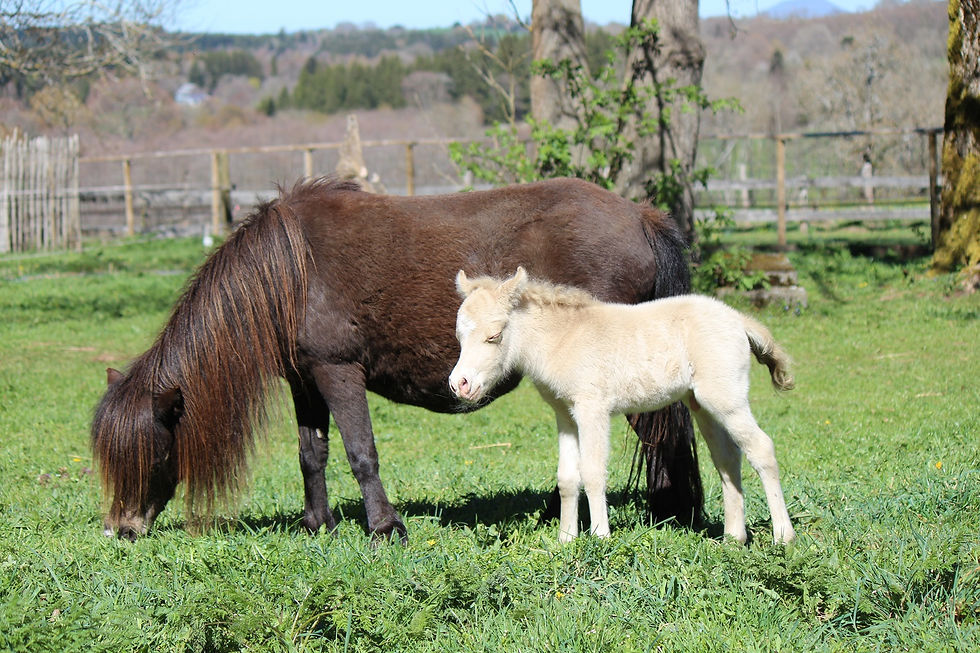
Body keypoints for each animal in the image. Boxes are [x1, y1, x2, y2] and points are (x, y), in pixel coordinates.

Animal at [92, 176, 702, 541]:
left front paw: (385, 529)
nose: (121, 529)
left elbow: (361, 453)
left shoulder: (338, 373)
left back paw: (678, 512)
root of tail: (641, 216)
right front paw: (319, 525)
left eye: (152, 452)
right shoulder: (305, 380)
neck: (291, 271)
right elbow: (311, 455)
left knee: (662, 433)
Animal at [449, 267, 797, 544]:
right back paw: (733, 538)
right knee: (727, 458)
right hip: (701, 404)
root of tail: (738, 319)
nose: (459, 384)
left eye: (494, 336)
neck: (563, 339)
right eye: (459, 335)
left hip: (726, 398)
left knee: (761, 448)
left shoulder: (592, 408)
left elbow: (592, 472)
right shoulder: (565, 414)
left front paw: (600, 537)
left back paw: (783, 537)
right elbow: (567, 478)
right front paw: (565, 541)